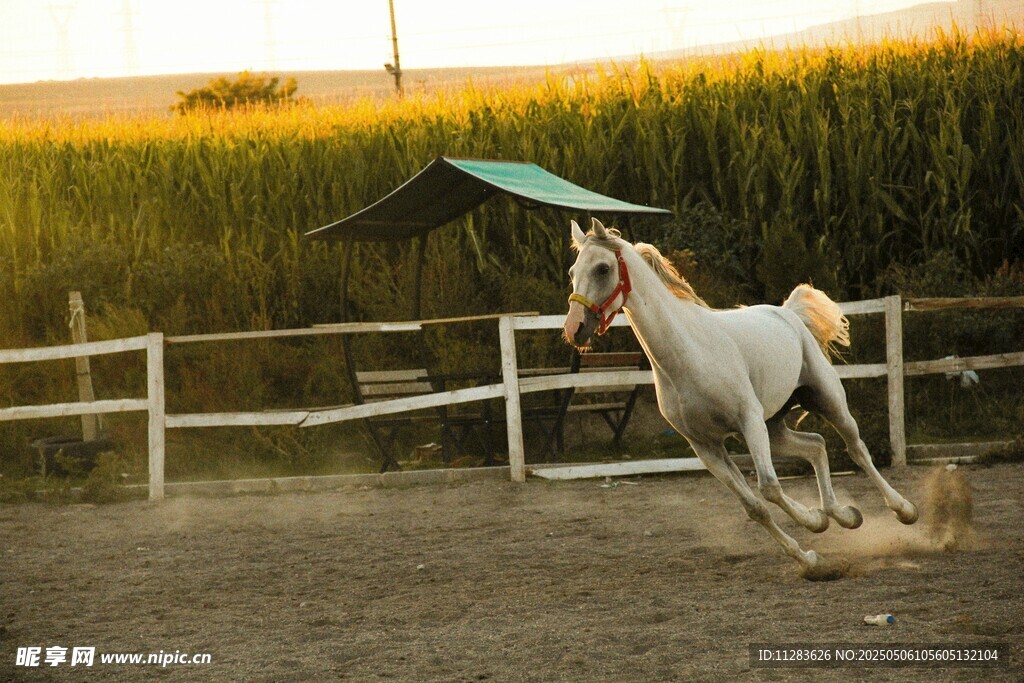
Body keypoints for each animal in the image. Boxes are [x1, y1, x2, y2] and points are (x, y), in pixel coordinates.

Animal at [563, 217, 918, 576]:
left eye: (603, 268)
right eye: (572, 271)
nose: (574, 329)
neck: (687, 355)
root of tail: (786, 313)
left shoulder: (748, 422)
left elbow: (769, 487)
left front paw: (813, 530)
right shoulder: (705, 446)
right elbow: (754, 506)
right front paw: (810, 550)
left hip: (825, 398)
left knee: (856, 449)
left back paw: (904, 510)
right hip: (775, 427)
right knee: (816, 445)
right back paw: (843, 515)